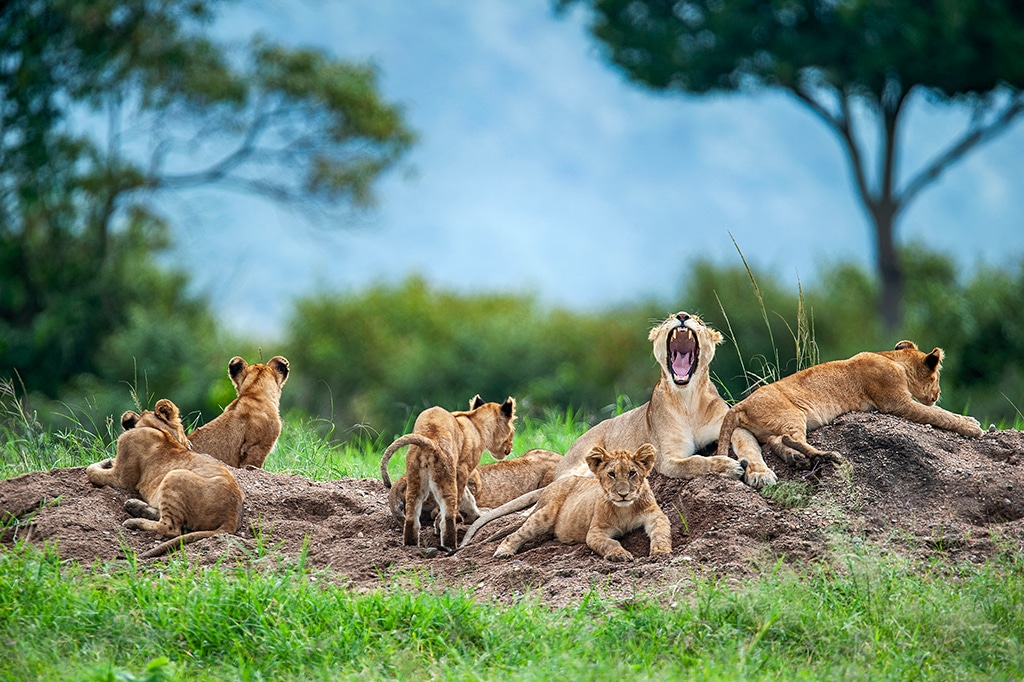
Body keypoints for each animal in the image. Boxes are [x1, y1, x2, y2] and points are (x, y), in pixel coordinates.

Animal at [86, 398, 244, 559]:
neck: (159, 429)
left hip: (175, 475)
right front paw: (109, 461)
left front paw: (106, 462)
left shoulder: (121, 477)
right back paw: (135, 506)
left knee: (171, 528)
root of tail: (231, 517)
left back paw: (133, 521)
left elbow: (91, 471)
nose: (190, 445)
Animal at [380, 395, 516, 550]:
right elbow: (462, 496)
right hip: (445, 477)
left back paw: (411, 546)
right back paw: (450, 545)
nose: (510, 448)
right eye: (512, 430)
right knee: (447, 517)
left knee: (411, 518)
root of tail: (430, 441)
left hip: (415, 482)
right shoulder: (463, 469)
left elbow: (467, 496)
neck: (477, 423)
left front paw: (474, 515)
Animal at [492, 444, 672, 562]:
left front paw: (661, 552)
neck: (625, 509)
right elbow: (609, 543)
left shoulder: (656, 516)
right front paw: (619, 554)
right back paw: (503, 551)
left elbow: (661, 532)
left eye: (632, 473)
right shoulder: (595, 532)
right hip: (545, 514)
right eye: (611, 474)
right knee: (517, 533)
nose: (623, 494)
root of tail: (551, 486)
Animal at [717, 340, 984, 469]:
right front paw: (972, 428)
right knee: (790, 438)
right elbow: (937, 415)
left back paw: (796, 459)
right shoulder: (896, 403)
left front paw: (969, 419)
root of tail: (739, 405)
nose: (937, 393)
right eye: (937, 377)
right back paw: (826, 455)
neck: (894, 360)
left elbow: (939, 412)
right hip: (791, 414)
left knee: (777, 440)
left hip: (773, 425)